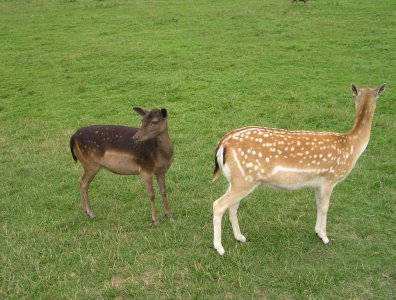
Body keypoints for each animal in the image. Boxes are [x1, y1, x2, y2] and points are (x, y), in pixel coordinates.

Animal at [212, 84, 386, 255]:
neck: (351, 146)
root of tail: (223, 143)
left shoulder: (318, 183)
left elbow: (318, 205)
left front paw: (317, 232)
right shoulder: (330, 179)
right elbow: (325, 207)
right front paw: (325, 238)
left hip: (237, 180)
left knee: (232, 206)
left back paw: (240, 237)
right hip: (244, 180)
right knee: (218, 204)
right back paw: (219, 248)